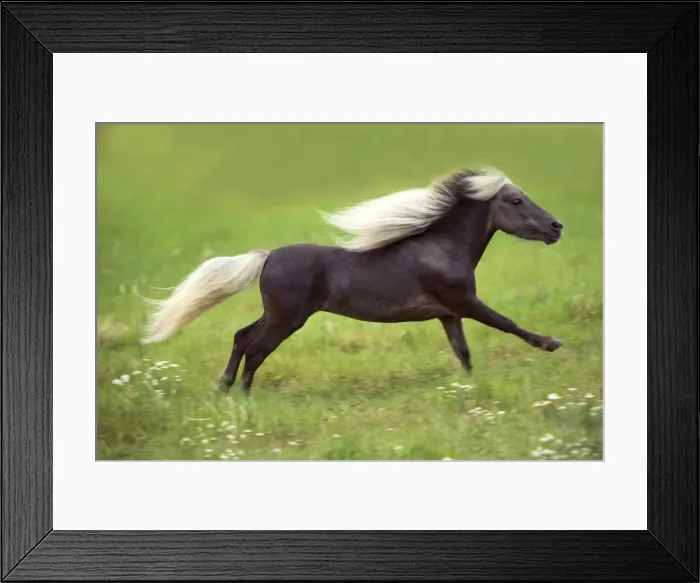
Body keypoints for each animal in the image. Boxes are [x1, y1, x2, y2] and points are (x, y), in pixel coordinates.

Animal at [142, 167, 564, 395]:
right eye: (516, 201)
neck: (442, 248)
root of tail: (267, 256)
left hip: (275, 314)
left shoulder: (448, 313)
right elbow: (505, 322)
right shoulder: (463, 301)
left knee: (242, 338)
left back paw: (224, 388)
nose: (556, 227)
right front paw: (552, 343)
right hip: (288, 318)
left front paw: (471, 385)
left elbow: (463, 351)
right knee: (256, 350)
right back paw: (244, 397)